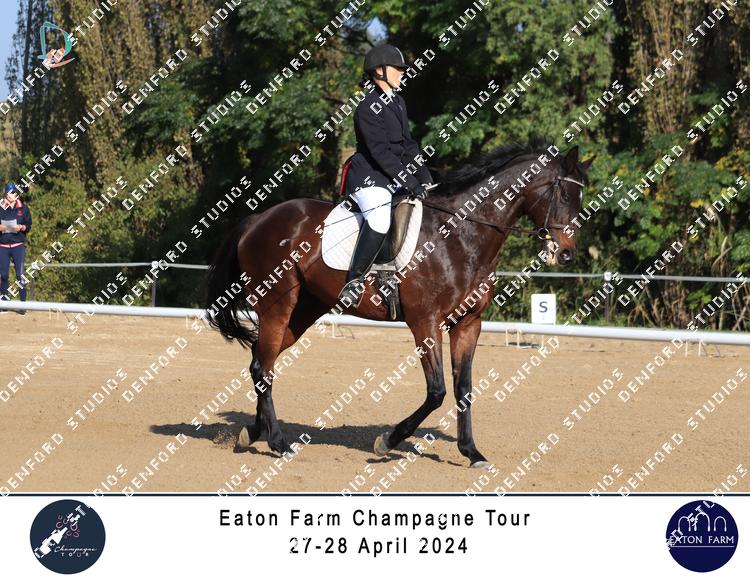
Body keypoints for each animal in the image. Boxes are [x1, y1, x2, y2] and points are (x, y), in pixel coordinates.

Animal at [205, 139, 592, 468]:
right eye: (563, 193)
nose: (567, 253)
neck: (461, 236)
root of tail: (258, 219)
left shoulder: (468, 323)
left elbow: (463, 389)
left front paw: (472, 453)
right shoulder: (426, 322)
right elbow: (437, 391)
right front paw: (387, 441)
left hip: (303, 311)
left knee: (260, 362)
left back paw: (253, 433)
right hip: (276, 305)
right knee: (263, 366)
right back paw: (278, 443)